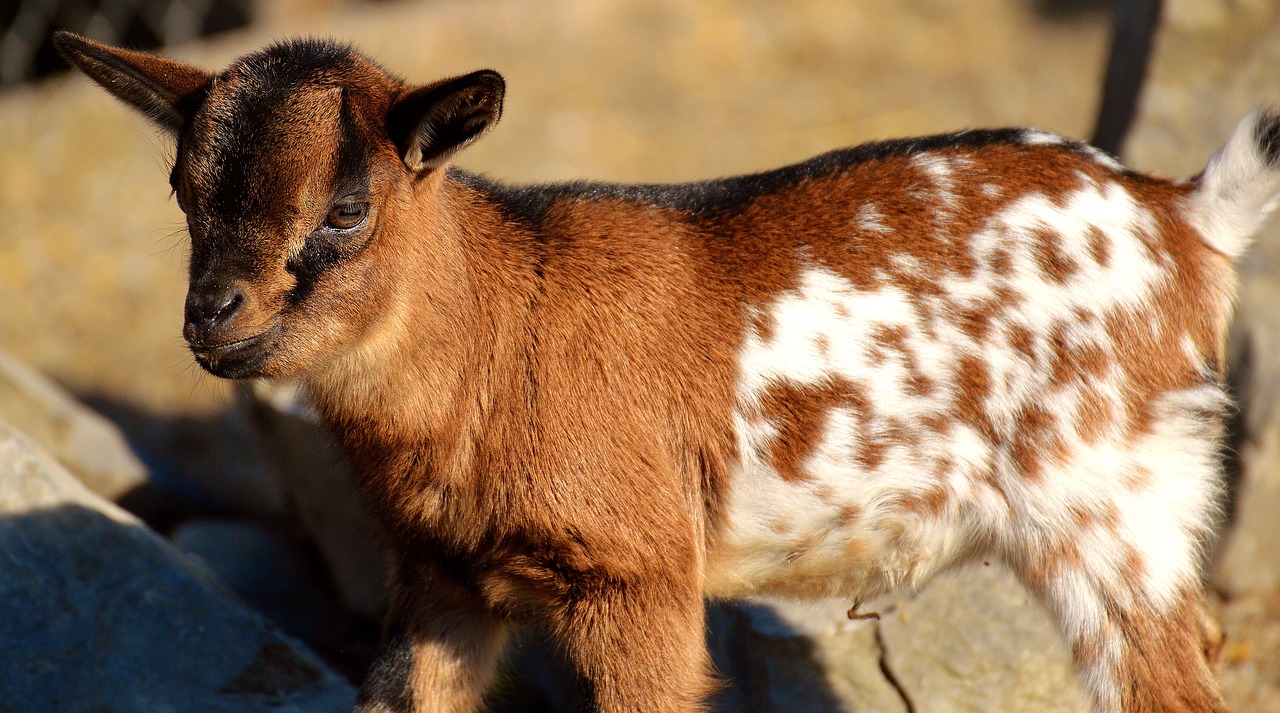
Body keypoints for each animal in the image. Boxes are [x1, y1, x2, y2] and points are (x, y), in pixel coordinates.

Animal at [57, 30, 1280, 706]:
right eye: (182, 189)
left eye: (345, 208)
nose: (211, 320)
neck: (502, 331)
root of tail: (1184, 214)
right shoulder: (440, 580)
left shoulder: (637, 573)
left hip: (1110, 511)